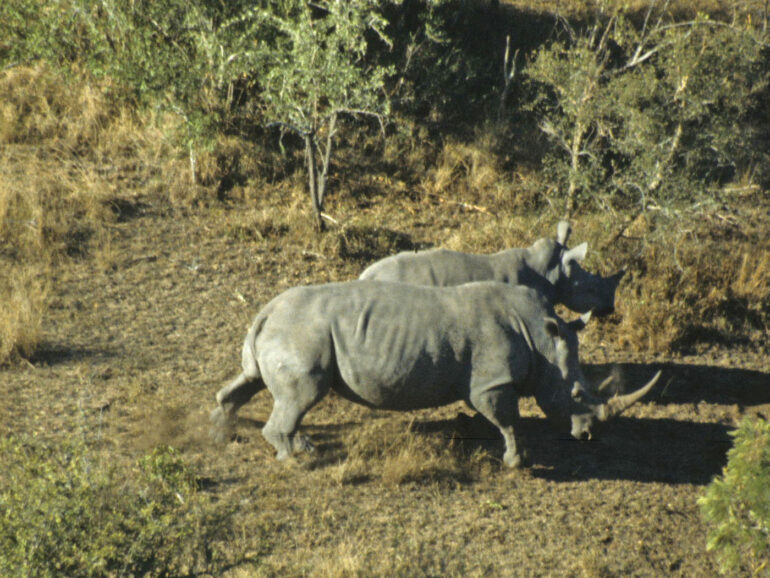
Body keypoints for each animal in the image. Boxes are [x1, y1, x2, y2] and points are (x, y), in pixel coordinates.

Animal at [211, 280, 660, 467]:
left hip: (284, 330)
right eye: (578, 395)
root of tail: (265, 311)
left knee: (250, 381)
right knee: (303, 394)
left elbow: (497, 419)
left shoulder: (487, 382)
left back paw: (223, 434)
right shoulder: (491, 382)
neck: (542, 337)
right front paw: (517, 462)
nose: (587, 435)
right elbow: (509, 421)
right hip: (301, 334)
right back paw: (295, 458)